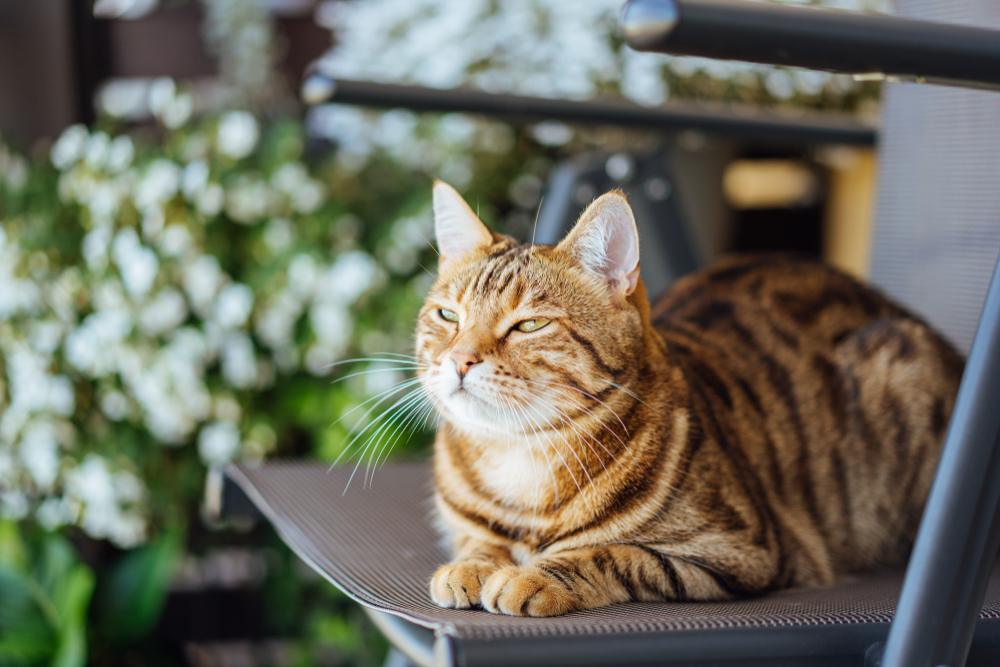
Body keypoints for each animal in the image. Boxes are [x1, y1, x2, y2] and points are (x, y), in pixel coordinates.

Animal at [414, 181, 960, 616]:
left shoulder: (737, 551)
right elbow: (478, 541)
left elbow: (615, 554)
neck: (518, 458)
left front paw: (536, 574)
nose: (459, 359)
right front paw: (473, 564)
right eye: (448, 316)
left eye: (529, 325)